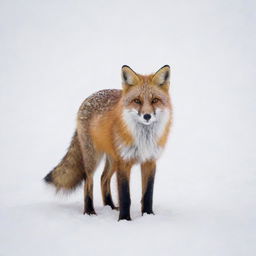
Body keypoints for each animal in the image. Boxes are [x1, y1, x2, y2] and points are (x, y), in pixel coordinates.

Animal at [44, 65, 172, 220]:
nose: (147, 116)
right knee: (88, 181)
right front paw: (124, 219)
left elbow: (148, 195)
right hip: (94, 158)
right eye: (137, 101)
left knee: (103, 178)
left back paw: (109, 206)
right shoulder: (124, 162)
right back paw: (89, 211)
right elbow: (125, 196)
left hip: (113, 159)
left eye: (155, 100)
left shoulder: (150, 161)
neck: (143, 138)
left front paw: (148, 215)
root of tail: (89, 98)